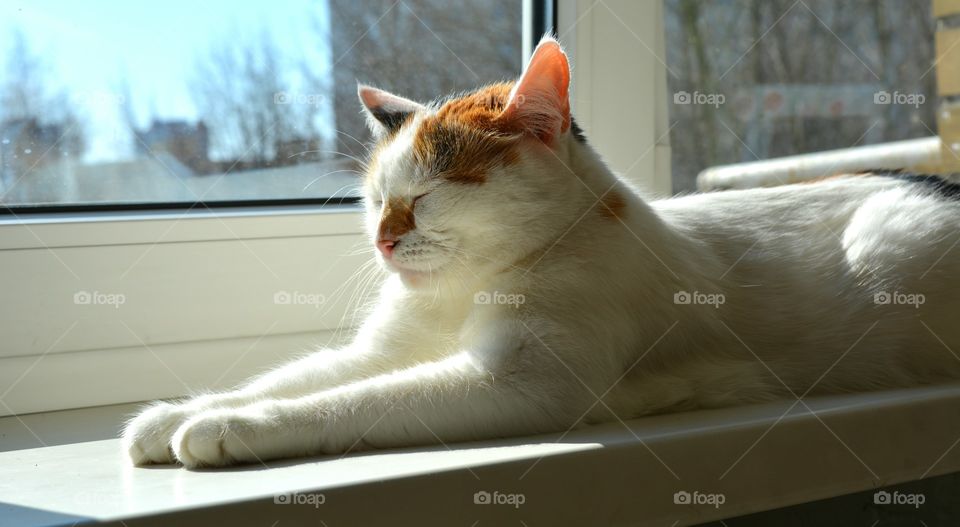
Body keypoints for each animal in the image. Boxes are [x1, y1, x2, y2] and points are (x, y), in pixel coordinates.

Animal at [120, 37, 960, 468]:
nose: (385, 237)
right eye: (375, 198)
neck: (465, 288)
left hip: (890, 241)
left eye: (427, 194)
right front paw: (175, 414)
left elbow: (349, 400)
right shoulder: (382, 349)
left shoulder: (523, 381)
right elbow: (300, 376)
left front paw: (231, 426)